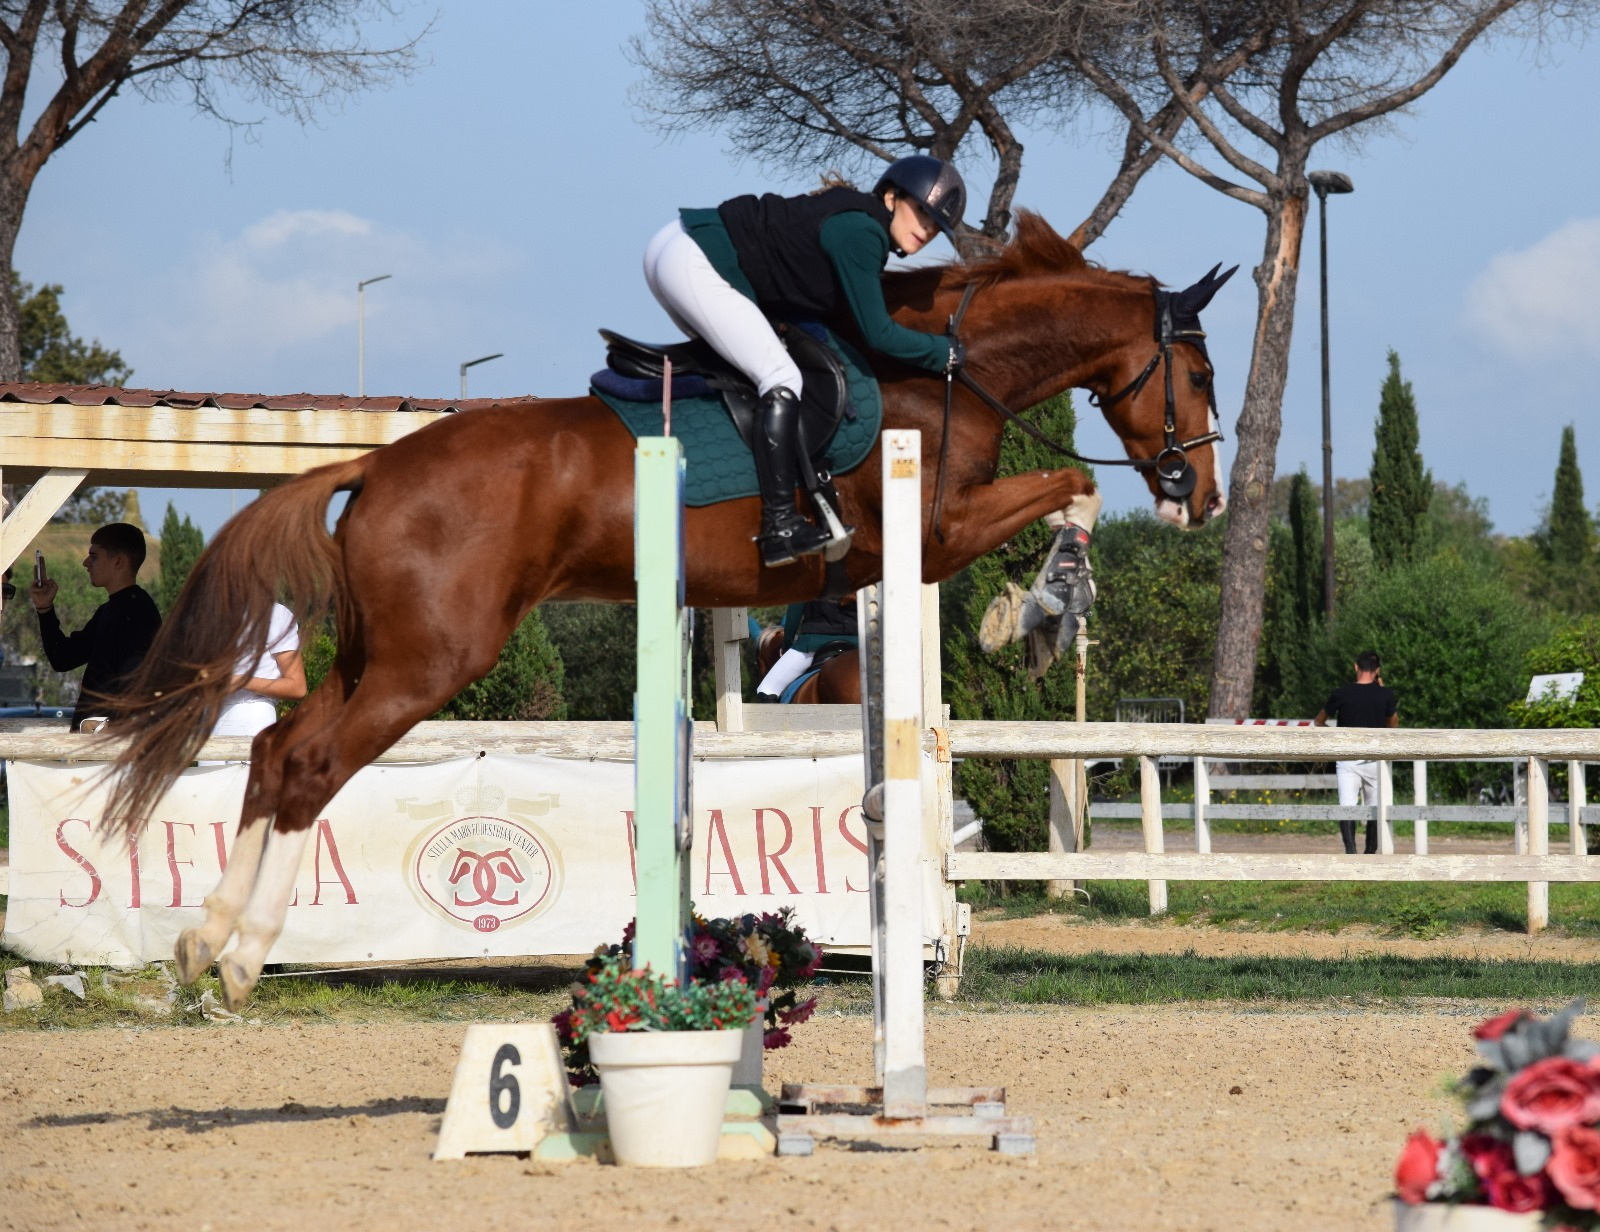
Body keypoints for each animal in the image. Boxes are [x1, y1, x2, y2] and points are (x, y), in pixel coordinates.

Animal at [103, 211, 1234, 1010]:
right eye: (1198, 369)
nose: (1203, 495)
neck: (948, 372)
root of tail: (375, 465)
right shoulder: (937, 528)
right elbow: (1071, 489)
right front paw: (1040, 610)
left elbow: (1068, 496)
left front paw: (1048, 610)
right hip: (432, 660)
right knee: (310, 767)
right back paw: (242, 955)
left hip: (379, 652)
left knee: (275, 748)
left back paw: (204, 938)